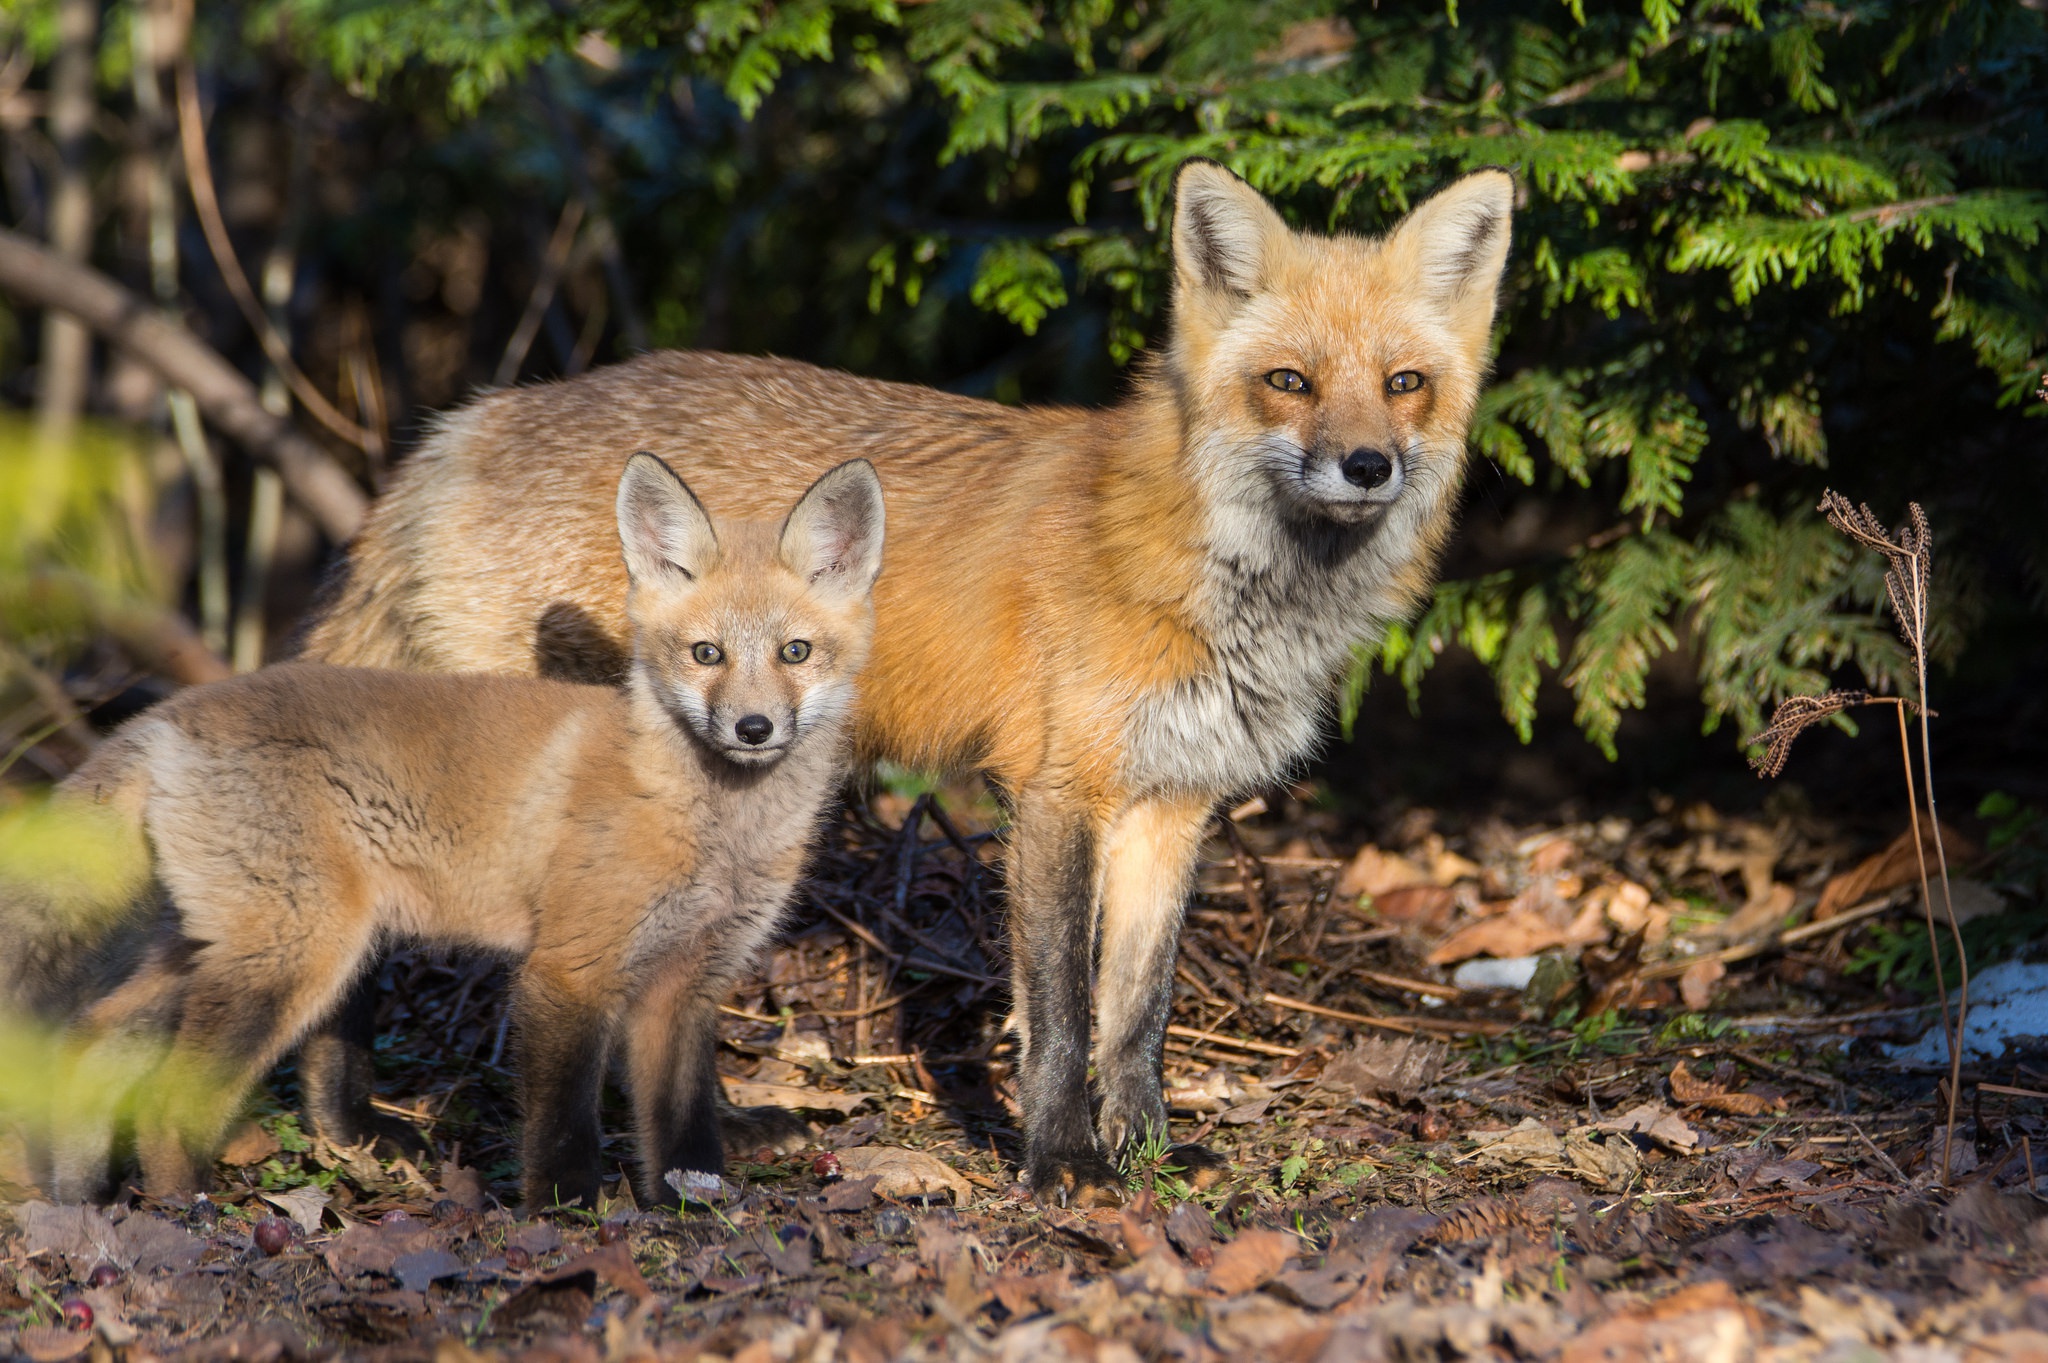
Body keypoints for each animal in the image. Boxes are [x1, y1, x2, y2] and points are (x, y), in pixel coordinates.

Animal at [2, 454, 880, 1203]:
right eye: (706, 654)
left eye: (795, 651)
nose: (754, 728)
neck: (711, 825)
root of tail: (167, 714)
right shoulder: (567, 970)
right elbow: (564, 1125)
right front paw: (568, 1216)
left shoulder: (690, 982)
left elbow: (684, 1127)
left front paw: (687, 1207)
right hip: (294, 954)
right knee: (163, 1099)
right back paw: (186, 1210)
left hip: (214, 944)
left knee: (89, 1039)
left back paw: (85, 1202)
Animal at [307, 161, 1523, 1203]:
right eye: (1288, 382)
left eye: (1403, 385)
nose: (1366, 466)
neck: (1209, 574)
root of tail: (466, 422)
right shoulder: (1053, 793)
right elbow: (1062, 1015)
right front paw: (1061, 1161)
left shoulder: (1173, 804)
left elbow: (1138, 1011)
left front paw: (1146, 1151)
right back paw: (369, 1129)